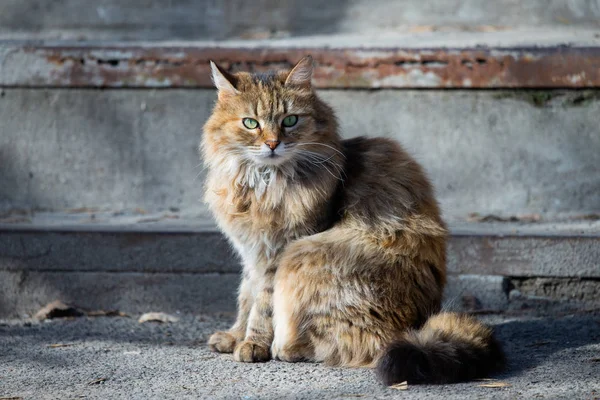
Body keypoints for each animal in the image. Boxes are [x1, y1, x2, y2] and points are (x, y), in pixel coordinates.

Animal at [202, 56, 506, 384]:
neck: (262, 182)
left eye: (290, 121)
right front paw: (234, 336)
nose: (272, 144)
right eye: (250, 123)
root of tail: (413, 328)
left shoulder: (280, 250)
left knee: (350, 345)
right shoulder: (251, 253)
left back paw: (284, 348)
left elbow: (262, 306)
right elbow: (245, 297)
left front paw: (253, 344)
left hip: (303, 257)